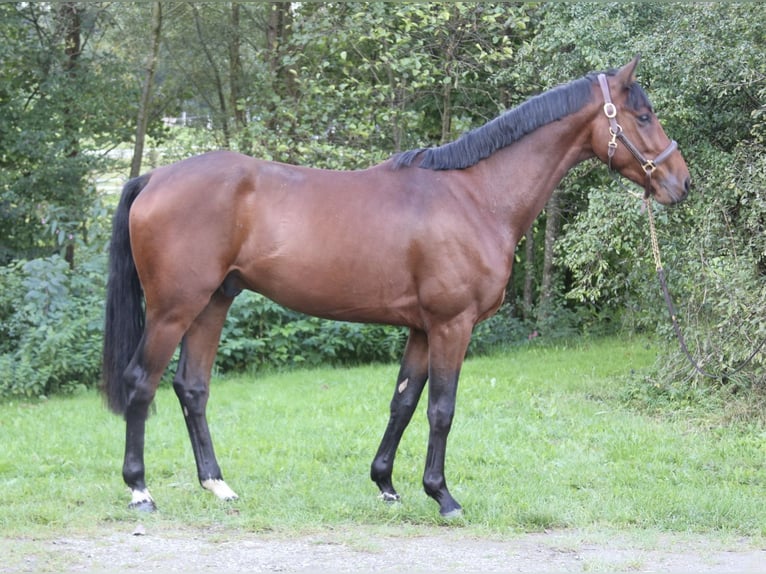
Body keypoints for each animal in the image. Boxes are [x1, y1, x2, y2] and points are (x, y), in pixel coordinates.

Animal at [102, 56, 690, 517]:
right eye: (643, 115)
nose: (680, 182)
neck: (475, 196)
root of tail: (154, 178)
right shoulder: (452, 325)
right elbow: (441, 409)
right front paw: (443, 496)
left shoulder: (422, 329)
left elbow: (403, 402)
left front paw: (386, 484)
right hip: (174, 308)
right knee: (141, 383)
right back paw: (139, 490)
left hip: (213, 302)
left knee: (192, 388)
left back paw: (217, 485)